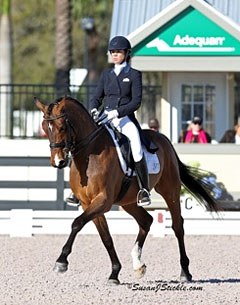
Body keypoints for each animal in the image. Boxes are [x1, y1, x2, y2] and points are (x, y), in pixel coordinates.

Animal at [35, 96, 218, 284]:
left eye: (62, 127)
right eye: (45, 128)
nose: (58, 162)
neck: (90, 154)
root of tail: (164, 139)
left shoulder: (103, 201)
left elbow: (77, 223)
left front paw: (61, 262)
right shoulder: (88, 204)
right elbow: (106, 237)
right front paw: (115, 273)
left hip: (170, 191)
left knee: (177, 226)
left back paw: (185, 271)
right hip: (128, 201)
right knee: (146, 221)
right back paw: (138, 264)